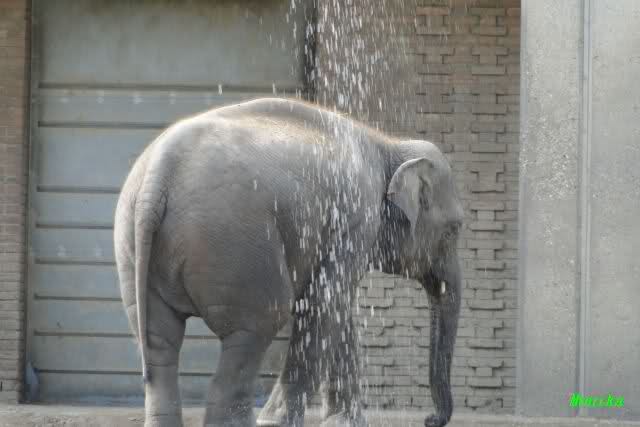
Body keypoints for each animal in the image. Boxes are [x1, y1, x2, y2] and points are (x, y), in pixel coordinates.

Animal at [114, 97, 463, 427]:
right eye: (454, 228)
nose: (429, 420)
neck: (389, 144)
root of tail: (159, 173)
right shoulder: (355, 217)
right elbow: (324, 305)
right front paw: (276, 422)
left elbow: (336, 310)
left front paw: (344, 423)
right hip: (237, 245)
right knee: (255, 327)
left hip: (134, 247)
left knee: (159, 341)